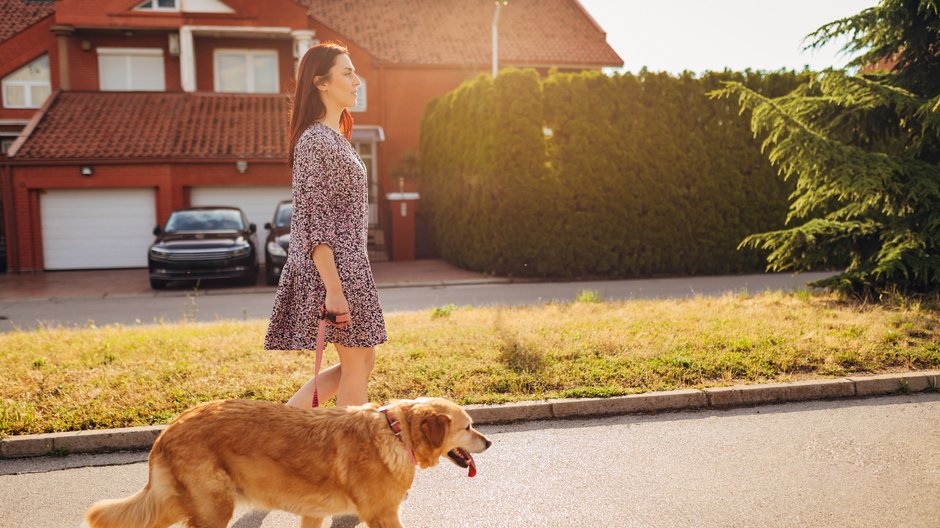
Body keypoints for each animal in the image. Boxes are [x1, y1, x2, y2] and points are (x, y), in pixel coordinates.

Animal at [86, 398, 492, 528]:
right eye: (469, 426)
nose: (489, 441)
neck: (396, 433)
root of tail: (168, 430)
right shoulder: (384, 516)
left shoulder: (313, 512)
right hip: (213, 508)